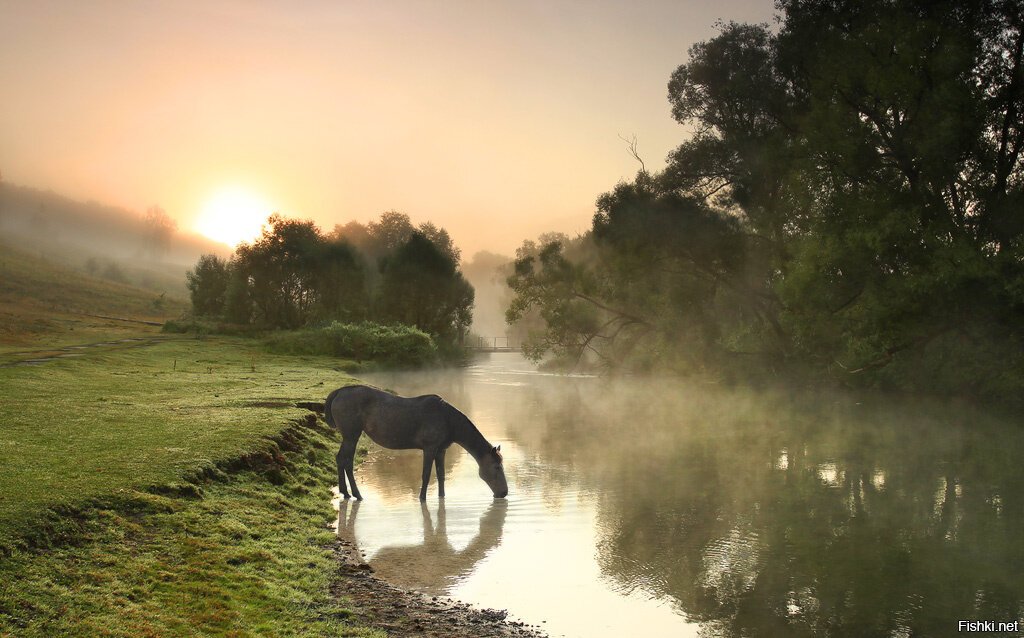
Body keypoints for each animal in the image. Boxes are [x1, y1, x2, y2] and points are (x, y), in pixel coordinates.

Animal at [323, 387, 507, 501]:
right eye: (497, 467)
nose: (504, 492)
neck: (450, 422)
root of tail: (338, 392)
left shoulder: (441, 450)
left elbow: (441, 475)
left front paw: (442, 496)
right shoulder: (429, 448)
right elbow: (426, 474)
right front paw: (422, 498)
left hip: (349, 436)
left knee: (341, 459)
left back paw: (345, 492)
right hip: (351, 435)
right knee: (346, 461)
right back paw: (356, 494)